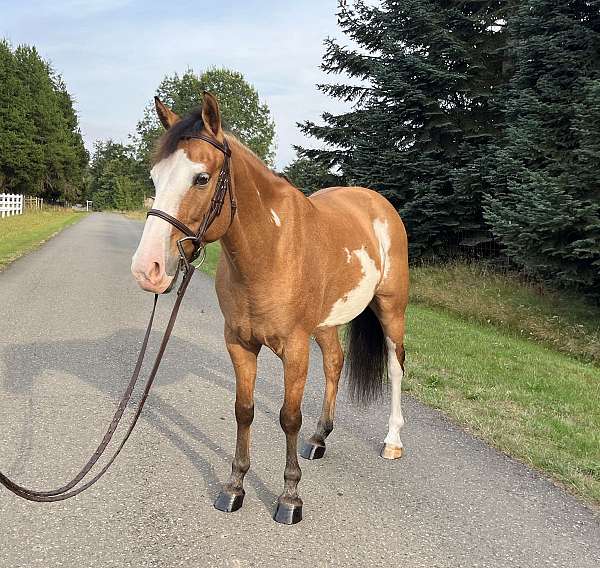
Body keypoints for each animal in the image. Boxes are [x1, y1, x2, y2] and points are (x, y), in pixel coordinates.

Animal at [131, 92, 410, 524]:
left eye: (201, 178)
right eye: (155, 178)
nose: (148, 269)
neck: (270, 249)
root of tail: (376, 202)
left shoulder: (294, 348)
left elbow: (288, 417)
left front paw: (290, 497)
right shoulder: (239, 343)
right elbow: (243, 410)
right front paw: (234, 487)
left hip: (392, 309)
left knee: (396, 368)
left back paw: (392, 441)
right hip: (326, 323)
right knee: (335, 362)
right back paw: (319, 438)